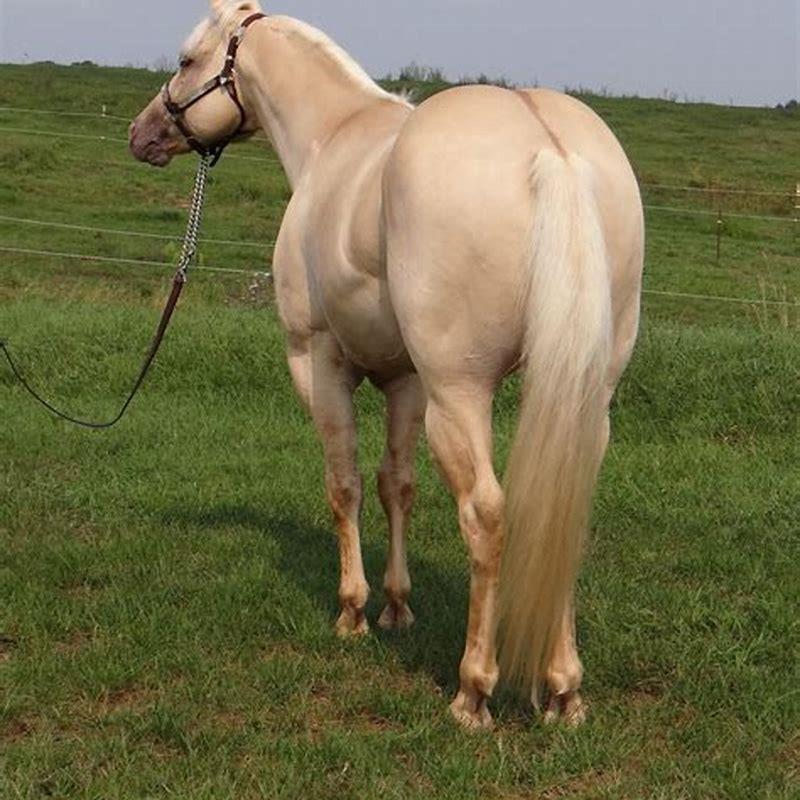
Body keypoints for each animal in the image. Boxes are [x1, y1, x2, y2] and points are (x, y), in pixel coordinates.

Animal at [130, 0, 644, 729]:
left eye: (185, 59)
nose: (142, 134)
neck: (333, 137)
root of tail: (549, 147)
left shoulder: (317, 362)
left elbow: (342, 483)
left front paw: (352, 610)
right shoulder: (406, 382)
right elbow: (395, 484)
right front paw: (398, 606)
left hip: (460, 394)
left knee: (486, 514)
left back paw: (472, 690)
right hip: (580, 400)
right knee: (564, 511)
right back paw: (564, 689)